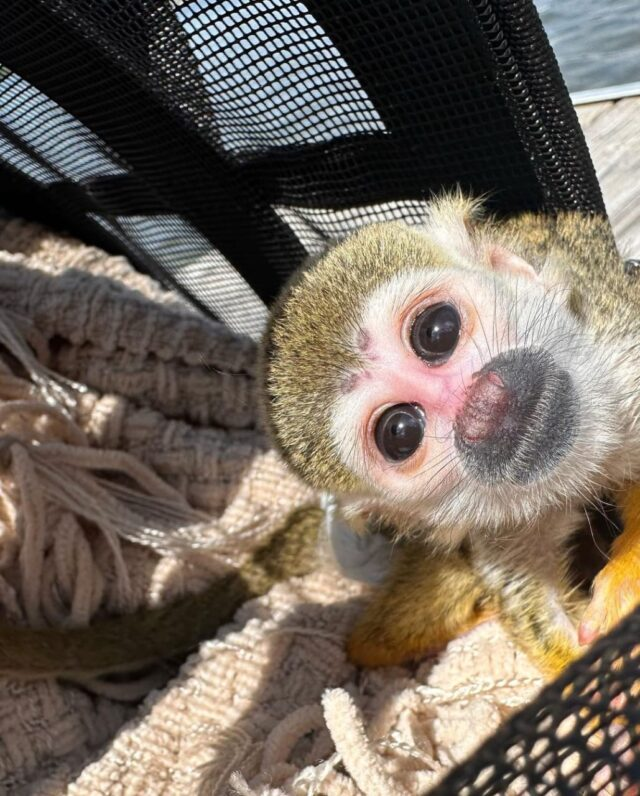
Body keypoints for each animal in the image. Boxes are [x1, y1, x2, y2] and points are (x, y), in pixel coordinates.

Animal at [262, 193, 640, 679]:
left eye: (438, 331)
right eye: (401, 432)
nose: (485, 406)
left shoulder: (621, 349)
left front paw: (628, 574)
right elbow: (524, 589)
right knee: (374, 641)